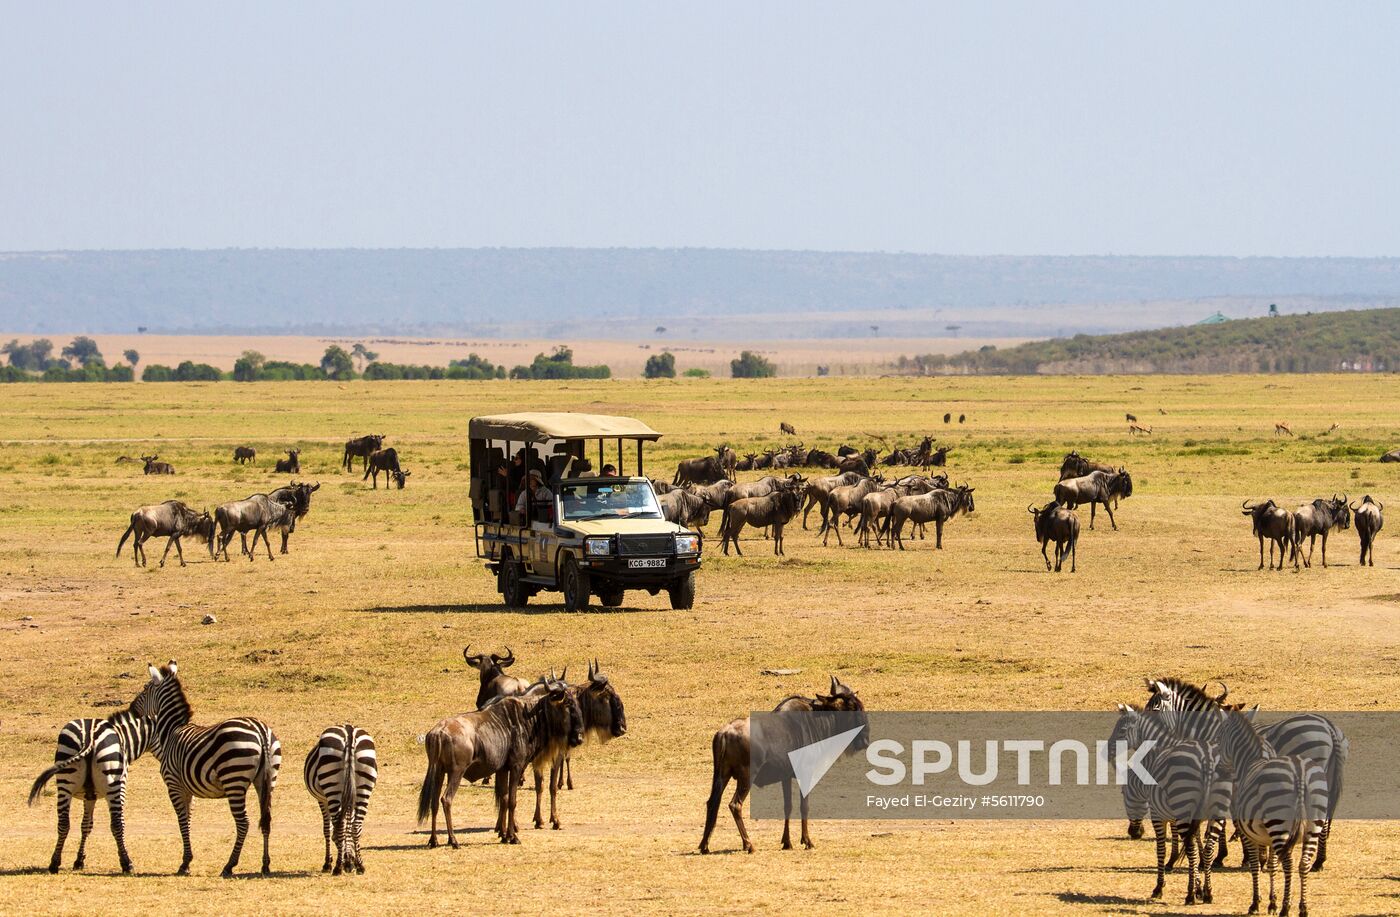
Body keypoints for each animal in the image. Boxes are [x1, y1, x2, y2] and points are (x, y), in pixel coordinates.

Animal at [26, 702, 153, 873]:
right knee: (117, 823)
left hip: (65, 780)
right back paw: (127, 863)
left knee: (63, 823)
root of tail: (89, 738)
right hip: (113, 783)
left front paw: (79, 860)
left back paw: (54, 863)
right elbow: (106, 824)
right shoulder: (116, 788)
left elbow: (86, 825)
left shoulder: (90, 796)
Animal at [131, 660, 281, 873]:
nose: (131, 709)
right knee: (266, 820)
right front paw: (187, 860)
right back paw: (265, 865)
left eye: (145, 689)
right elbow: (188, 819)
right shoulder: (187, 788)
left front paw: (185, 863)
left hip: (234, 779)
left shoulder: (173, 784)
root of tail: (260, 730)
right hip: (268, 780)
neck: (171, 733)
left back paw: (229, 865)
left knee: (243, 822)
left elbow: (181, 820)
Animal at [302, 722, 378, 873]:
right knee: (356, 826)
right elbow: (349, 825)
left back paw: (337, 867)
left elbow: (328, 829)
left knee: (339, 826)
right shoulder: (350, 800)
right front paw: (350, 860)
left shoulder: (322, 800)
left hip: (331, 785)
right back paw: (360, 865)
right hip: (364, 783)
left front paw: (329, 863)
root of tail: (349, 733)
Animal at [1215, 711, 1321, 917]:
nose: (1219, 771)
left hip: (1279, 824)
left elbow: (1256, 865)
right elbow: (1272, 865)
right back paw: (1303, 908)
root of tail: (1299, 771)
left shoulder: (1248, 833)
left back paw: (1286, 908)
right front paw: (1272, 902)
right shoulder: (1268, 836)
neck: (1249, 763)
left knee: (1288, 862)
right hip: (1312, 825)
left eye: (1219, 738)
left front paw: (1256, 903)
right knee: (1303, 862)